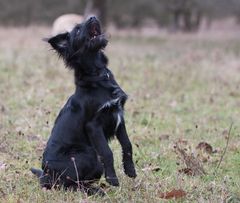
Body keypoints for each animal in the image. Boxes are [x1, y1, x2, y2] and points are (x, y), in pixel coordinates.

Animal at [31, 16, 137, 194]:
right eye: (78, 30)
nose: (93, 17)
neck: (98, 75)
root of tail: (46, 175)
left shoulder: (119, 116)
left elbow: (127, 145)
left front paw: (130, 170)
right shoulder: (93, 125)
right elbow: (107, 152)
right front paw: (112, 179)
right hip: (87, 154)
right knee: (70, 184)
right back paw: (97, 191)